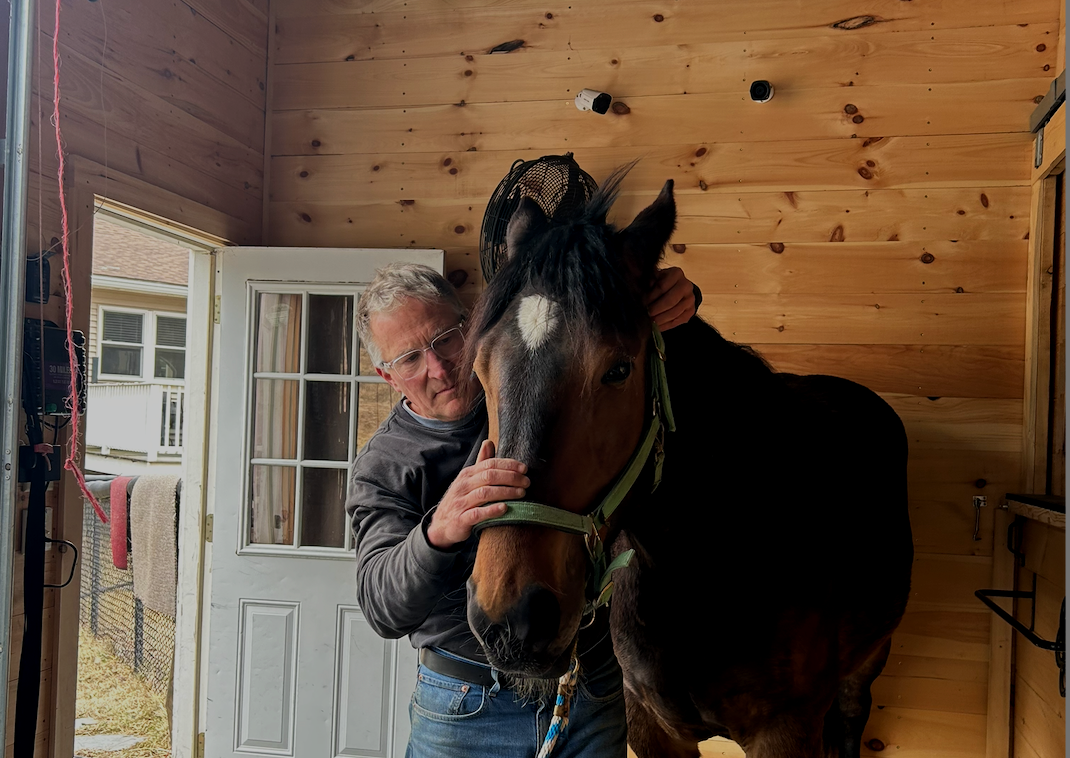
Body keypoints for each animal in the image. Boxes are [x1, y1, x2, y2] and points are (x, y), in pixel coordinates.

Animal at [463, 167, 914, 758]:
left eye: (619, 370)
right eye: (480, 367)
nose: (511, 618)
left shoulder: (788, 730)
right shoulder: (649, 725)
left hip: (869, 659)